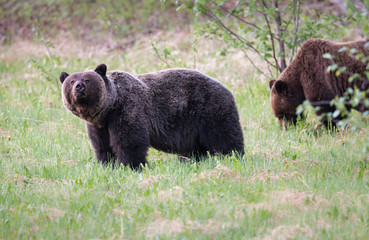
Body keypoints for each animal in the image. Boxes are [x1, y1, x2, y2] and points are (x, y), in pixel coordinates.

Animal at [59, 64, 244, 169]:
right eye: (71, 81)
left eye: (87, 79)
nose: (79, 87)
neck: (110, 107)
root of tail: (226, 88)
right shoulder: (99, 125)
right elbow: (101, 146)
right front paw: (107, 164)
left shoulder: (128, 110)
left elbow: (129, 142)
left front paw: (130, 165)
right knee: (194, 148)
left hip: (209, 110)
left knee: (225, 137)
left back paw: (233, 156)